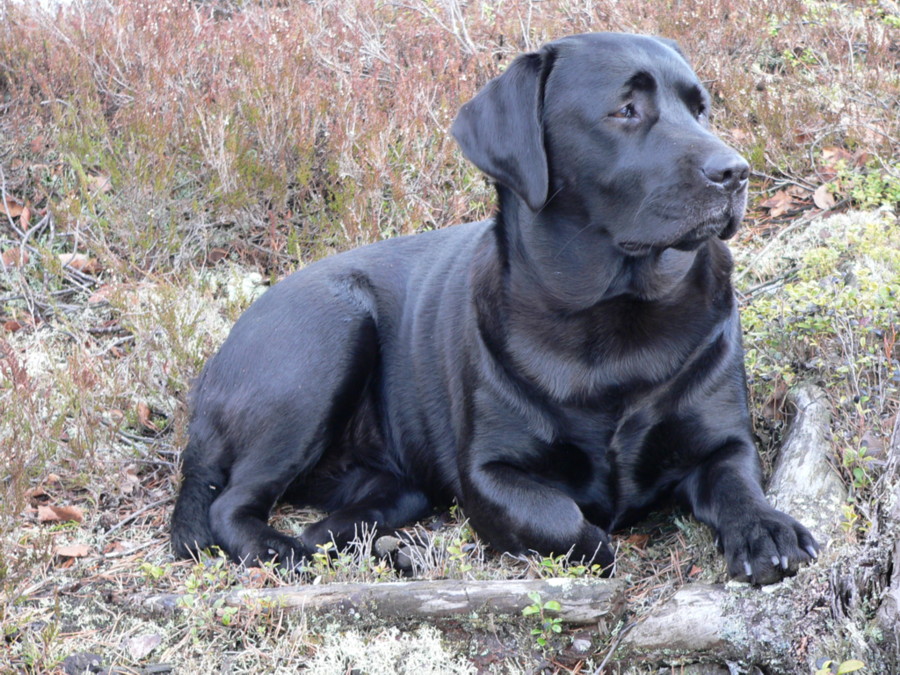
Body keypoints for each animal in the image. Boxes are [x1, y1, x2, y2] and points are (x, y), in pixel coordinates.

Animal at [171, 32, 819, 585]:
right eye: (625, 110)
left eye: (700, 109)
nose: (735, 171)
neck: (613, 319)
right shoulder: (489, 475)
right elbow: (567, 525)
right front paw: (596, 543)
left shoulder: (724, 441)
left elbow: (739, 484)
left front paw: (765, 531)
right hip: (325, 344)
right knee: (232, 506)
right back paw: (287, 554)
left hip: (395, 484)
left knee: (334, 523)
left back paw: (389, 550)